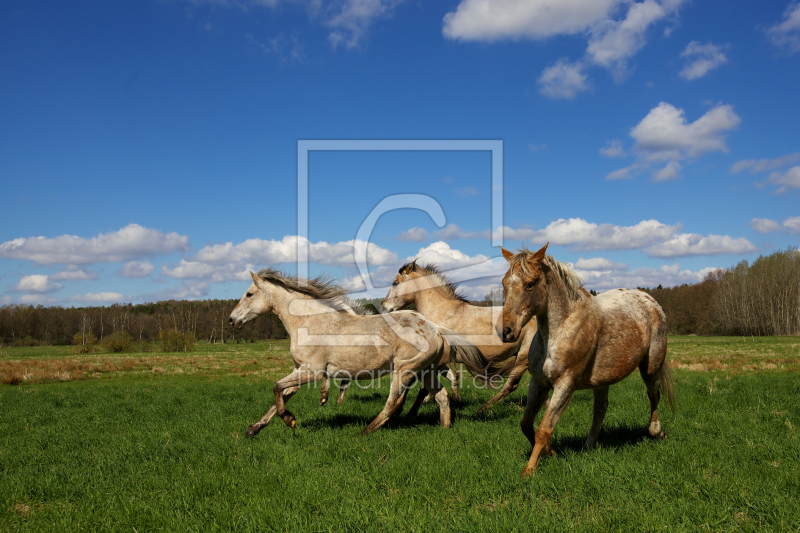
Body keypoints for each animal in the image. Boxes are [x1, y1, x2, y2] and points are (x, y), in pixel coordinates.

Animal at [228, 268, 484, 434]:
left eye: (249, 294)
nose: (232, 320)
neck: (310, 322)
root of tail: (434, 328)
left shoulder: (312, 372)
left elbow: (277, 388)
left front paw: (289, 420)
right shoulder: (300, 369)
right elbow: (282, 394)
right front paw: (254, 428)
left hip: (405, 370)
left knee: (393, 402)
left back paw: (366, 431)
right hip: (425, 370)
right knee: (442, 396)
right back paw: (444, 429)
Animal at [382, 260, 536, 414]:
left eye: (395, 283)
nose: (384, 308)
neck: (442, 313)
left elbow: (420, 385)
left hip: (522, 359)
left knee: (510, 385)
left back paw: (481, 409)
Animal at [500, 243, 676, 476]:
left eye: (529, 284)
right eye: (504, 283)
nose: (506, 331)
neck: (559, 329)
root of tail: (652, 303)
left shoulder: (565, 384)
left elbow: (544, 429)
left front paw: (529, 470)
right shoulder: (538, 382)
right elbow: (526, 423)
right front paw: (549, 452)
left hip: (650, 367)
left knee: (653, 394)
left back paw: (656, 431)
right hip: (603, 379)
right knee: (600, 408)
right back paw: (589, 445)